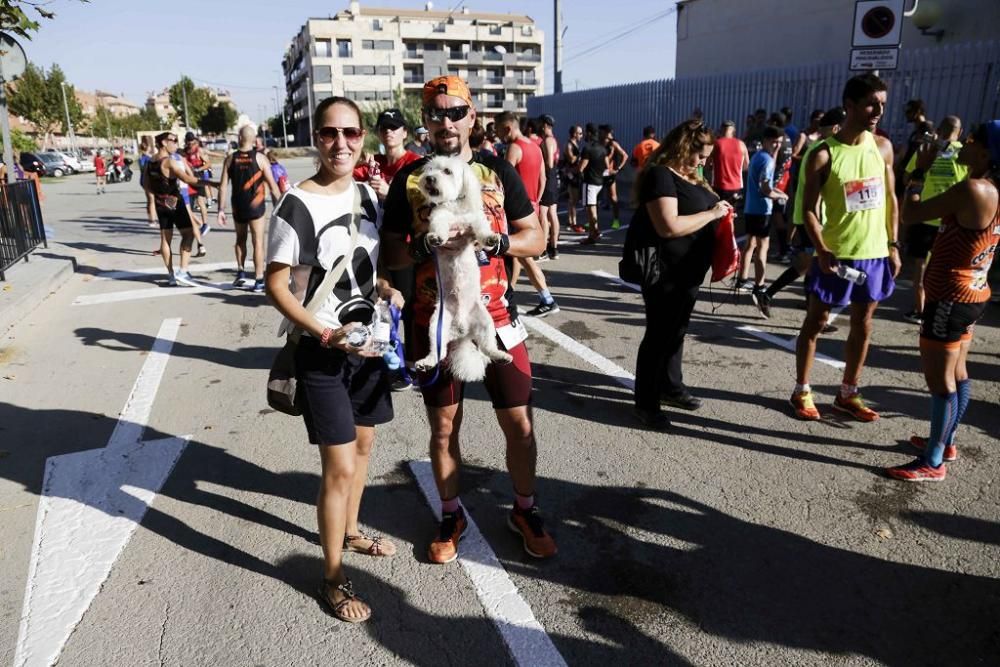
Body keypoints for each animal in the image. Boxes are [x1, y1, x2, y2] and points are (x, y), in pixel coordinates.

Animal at [414, 155, 512, 380]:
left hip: (485, 322)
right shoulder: (440, 217)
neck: (454, 206)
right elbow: (440, 227)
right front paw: (436, 238)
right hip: (436, 325)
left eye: (447, 171)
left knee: (487, 347)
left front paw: (491, 239)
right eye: (429, 170)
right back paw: (425, 362)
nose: (430, 179)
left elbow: (482, 229)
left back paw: (501, 355)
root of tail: (463, 331)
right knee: (438, 353)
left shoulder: (474, 220)